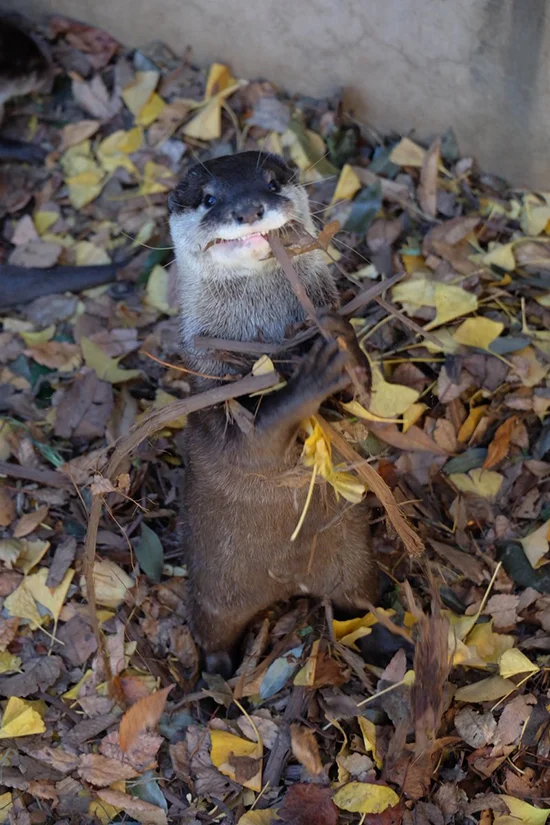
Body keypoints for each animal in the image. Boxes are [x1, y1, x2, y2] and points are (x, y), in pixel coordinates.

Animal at [169, 151, 377, 668]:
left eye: (271, 182)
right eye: (209, 198)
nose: (248, 209)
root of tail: (285, 586)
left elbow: (359, 404)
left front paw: (342, 341)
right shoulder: (215, 391)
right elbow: (255, 443)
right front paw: (312, 378)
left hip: (355, 566)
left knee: (362, 604)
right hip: (212, 595)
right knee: (213, 630)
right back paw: (217, 671)